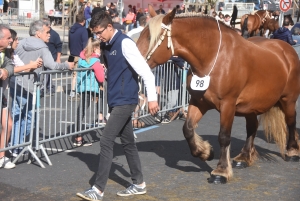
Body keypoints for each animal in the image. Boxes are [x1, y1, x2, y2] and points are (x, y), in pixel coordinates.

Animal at [137, 5, 300, 184]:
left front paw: (221, 171)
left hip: (288, 100)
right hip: (250, 107)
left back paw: (292, 151)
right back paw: (244, 157)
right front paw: (205, 152)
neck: (214, 59)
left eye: (150, 37)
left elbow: (223, 136)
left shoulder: (228, 105)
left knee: (291, 121)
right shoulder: (198, 102)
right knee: (252, 127)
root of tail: (286, 49)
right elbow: (187, 129)